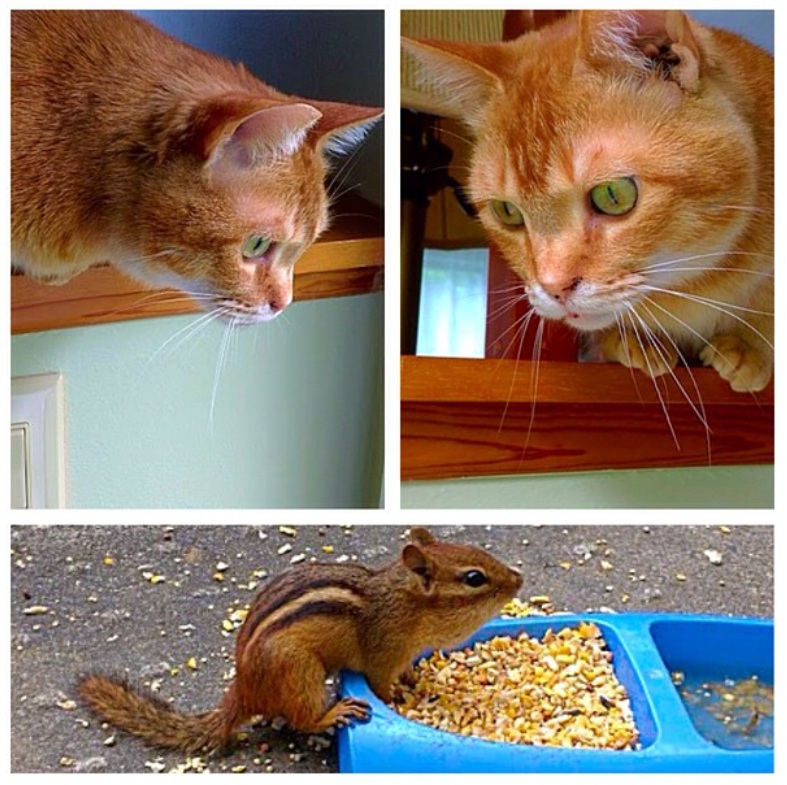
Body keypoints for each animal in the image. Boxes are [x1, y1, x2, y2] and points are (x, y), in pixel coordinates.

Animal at [78, 526, 523, 754]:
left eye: (479, 552)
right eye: (474, 578)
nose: (518, 579)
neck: (404, 603)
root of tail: (243, 690)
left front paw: (417, 679)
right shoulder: (381, 658)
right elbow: (381, 685)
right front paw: (397, 701)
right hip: (300, 672)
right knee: (300, 719)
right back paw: (332, 713)